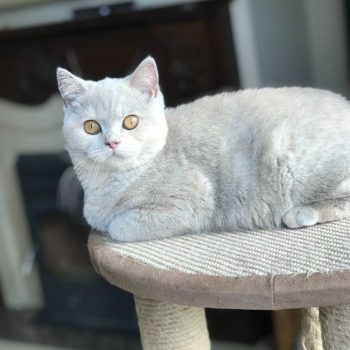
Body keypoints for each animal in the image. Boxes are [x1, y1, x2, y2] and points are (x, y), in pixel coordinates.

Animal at [56, 58, 350, 243]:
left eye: (130, 122)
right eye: (91, 127)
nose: (112, 142)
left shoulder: (191, 202)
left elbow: (117, 225)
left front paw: (111, 223)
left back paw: (302, 212)